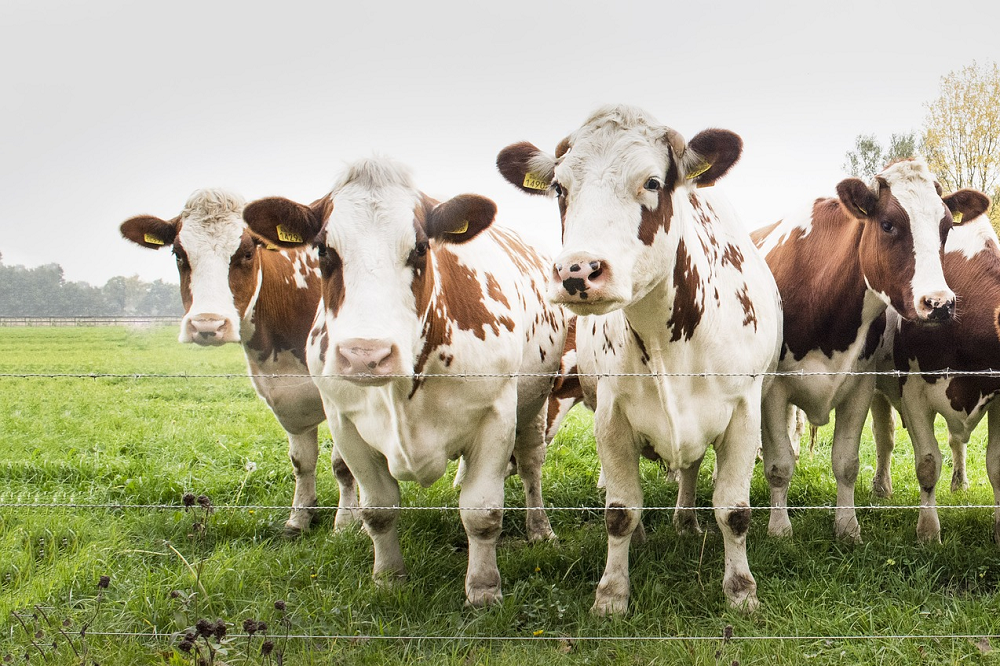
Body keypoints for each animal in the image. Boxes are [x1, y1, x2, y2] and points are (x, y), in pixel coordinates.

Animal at [119, 189, 360, 532]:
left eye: (246, 253)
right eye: (178, 254)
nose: (207, 324)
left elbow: (342, 464)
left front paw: (346, 523)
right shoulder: (285, 395)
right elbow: (301, 462)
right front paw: (299, 518)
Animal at [244, 158, 572, 604]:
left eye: (419, 248)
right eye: (324, 250)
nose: (366, 355)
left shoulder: (496, 416)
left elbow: (482, 512)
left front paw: (483, 588)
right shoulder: (345, 423)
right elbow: (378, 510)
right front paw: (387, 577)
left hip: (534, 404)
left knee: (531, 465)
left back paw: (540, 529)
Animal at [496, 102, 784, 612]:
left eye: (651, 182)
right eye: (559, 188)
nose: (577, 271)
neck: (666, 337)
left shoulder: (744, 411)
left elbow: (733, 511)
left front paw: (741, 589)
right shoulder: (611, 414)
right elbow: (619, 510)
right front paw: (612, 593)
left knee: (690, 469)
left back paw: (686, 521)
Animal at [752, 160, 988, 540]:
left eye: (946, 227)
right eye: (888, 224)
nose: (939, 303)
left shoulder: (860, 386)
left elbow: (846, 462)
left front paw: (848, 528)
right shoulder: (774, 391)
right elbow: (779, 464)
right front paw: (779, 528)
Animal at [868, 200, 1000, 544]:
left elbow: (996, 464)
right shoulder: (914, 391)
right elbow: (927, 462)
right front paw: (928, 532)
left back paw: (959, 483)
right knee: (884, 436)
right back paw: (881, 486)